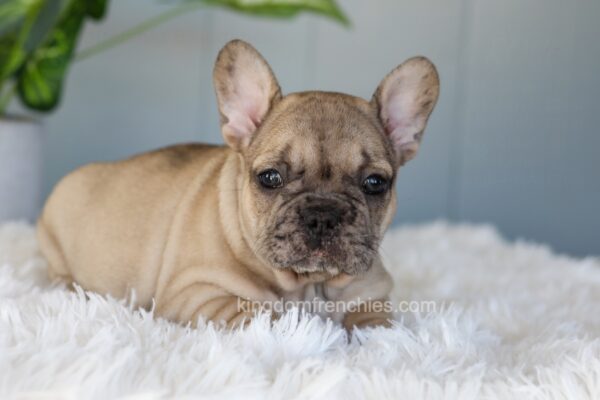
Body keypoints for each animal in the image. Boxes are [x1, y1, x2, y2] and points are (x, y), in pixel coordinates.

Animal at [38, 39, 440, 330]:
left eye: (375, 183)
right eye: (270, 177)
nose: (322, 214)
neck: (309, 284)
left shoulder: (372, 295)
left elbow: (378, 326)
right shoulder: (198, 294)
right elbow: (264, 314)